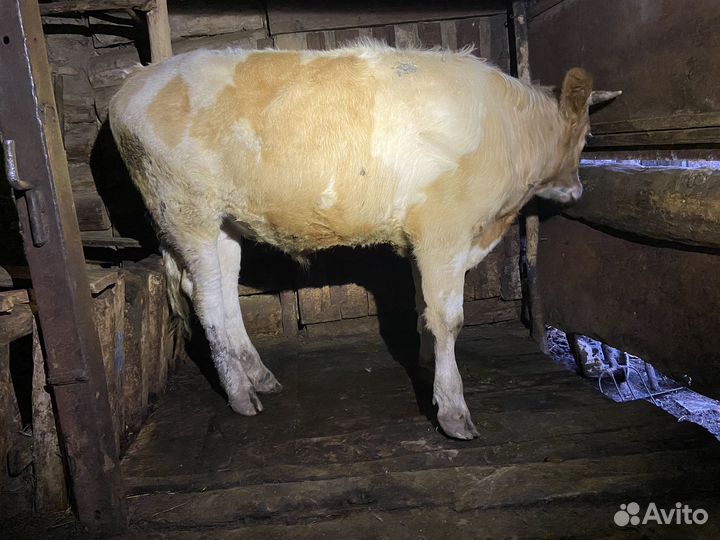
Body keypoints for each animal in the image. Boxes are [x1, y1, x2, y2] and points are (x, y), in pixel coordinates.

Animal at [109, 41, 607, 440]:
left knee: (223, 289)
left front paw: (427, 369)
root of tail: (136, 79)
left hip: (223, 221)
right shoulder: (444, 230)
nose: (578, 191)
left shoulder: (423, 238)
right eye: (586, 136)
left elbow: (423, 309)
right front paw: (454, 413)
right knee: (207, 298)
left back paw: (258, 375)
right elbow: (449, 320)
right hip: (185, 208)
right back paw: (241, 395)